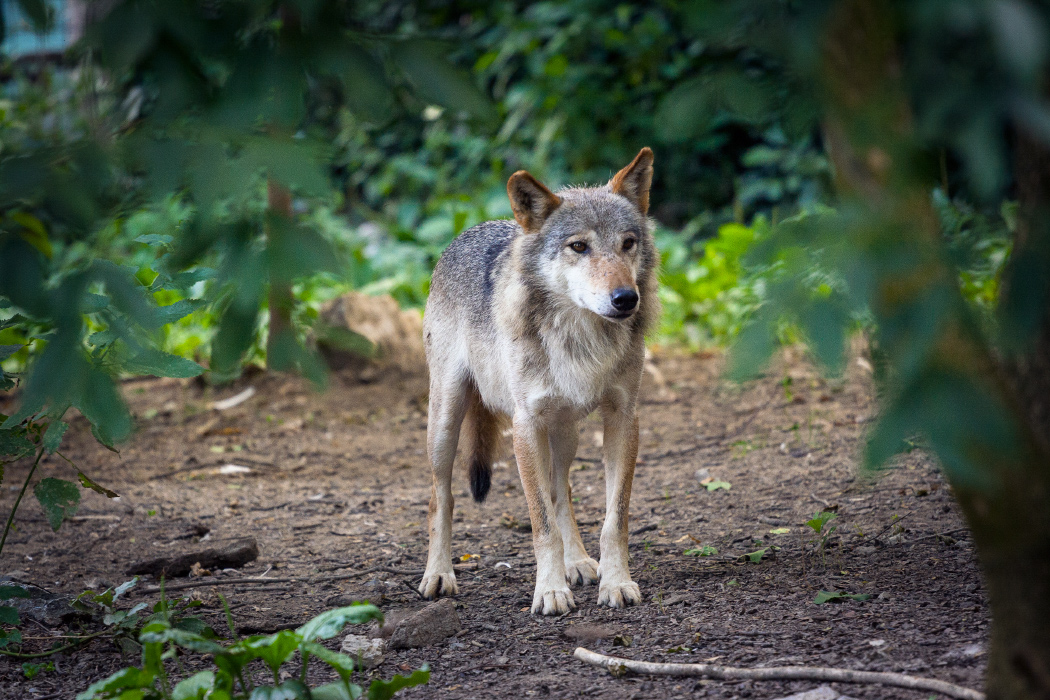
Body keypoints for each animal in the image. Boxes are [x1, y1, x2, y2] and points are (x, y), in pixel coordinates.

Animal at [417, 146, 655, 612]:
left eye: (628, 243)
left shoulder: (624, 417)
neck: (580, 339)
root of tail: (467, 232)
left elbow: (613, 520)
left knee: (562, 493)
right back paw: (438, 575)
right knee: (441, 497)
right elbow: (541, 524)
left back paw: (578, 563)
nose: (625, 299)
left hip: (565, 432)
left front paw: (615, 582)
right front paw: (550, 591)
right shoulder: (525, 425)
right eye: (578, 246)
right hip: (446, 422)